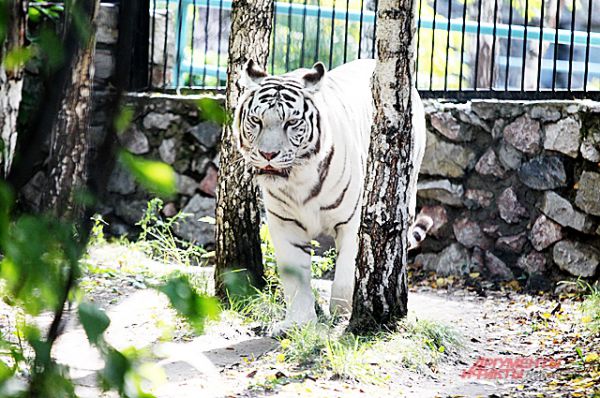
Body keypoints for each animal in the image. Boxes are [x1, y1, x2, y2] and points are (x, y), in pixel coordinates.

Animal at [231, 59, 432, 332]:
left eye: (291, 122)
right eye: (256, 120)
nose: (268, 154)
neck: (298, 180)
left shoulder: (353, 222)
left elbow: (346, 275)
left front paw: (343, 317)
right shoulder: (285, 224)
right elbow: (295, 279)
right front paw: (298, 322)